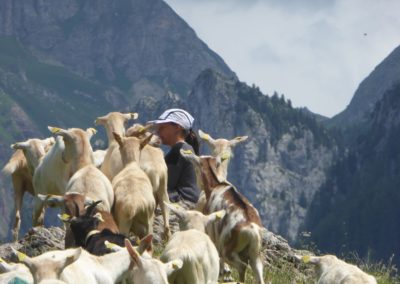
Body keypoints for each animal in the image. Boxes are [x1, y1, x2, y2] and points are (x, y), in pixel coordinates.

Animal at [180, 150, 264, 282]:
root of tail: (252, 231)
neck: (216, 186)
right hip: (255, 254)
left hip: (229, 251)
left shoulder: (212, 229)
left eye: (196, 167)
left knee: (242, 266)